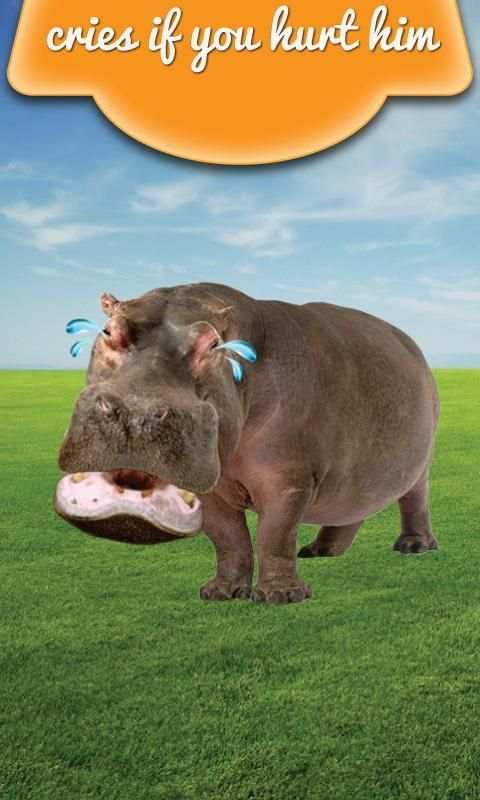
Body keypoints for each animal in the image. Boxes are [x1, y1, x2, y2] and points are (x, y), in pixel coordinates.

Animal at [55, 282, 439, 603]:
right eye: (108, 330)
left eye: (212, 344)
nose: (137, 413)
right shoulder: (213, 489)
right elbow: (229, 538)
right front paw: (220, 592)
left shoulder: (288, 479)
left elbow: (275, 533)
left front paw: (281, 596)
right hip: (355, 475)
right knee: (350, 509)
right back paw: (318, 551)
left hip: (420, 463)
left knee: (414, 499)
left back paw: (413, 546)